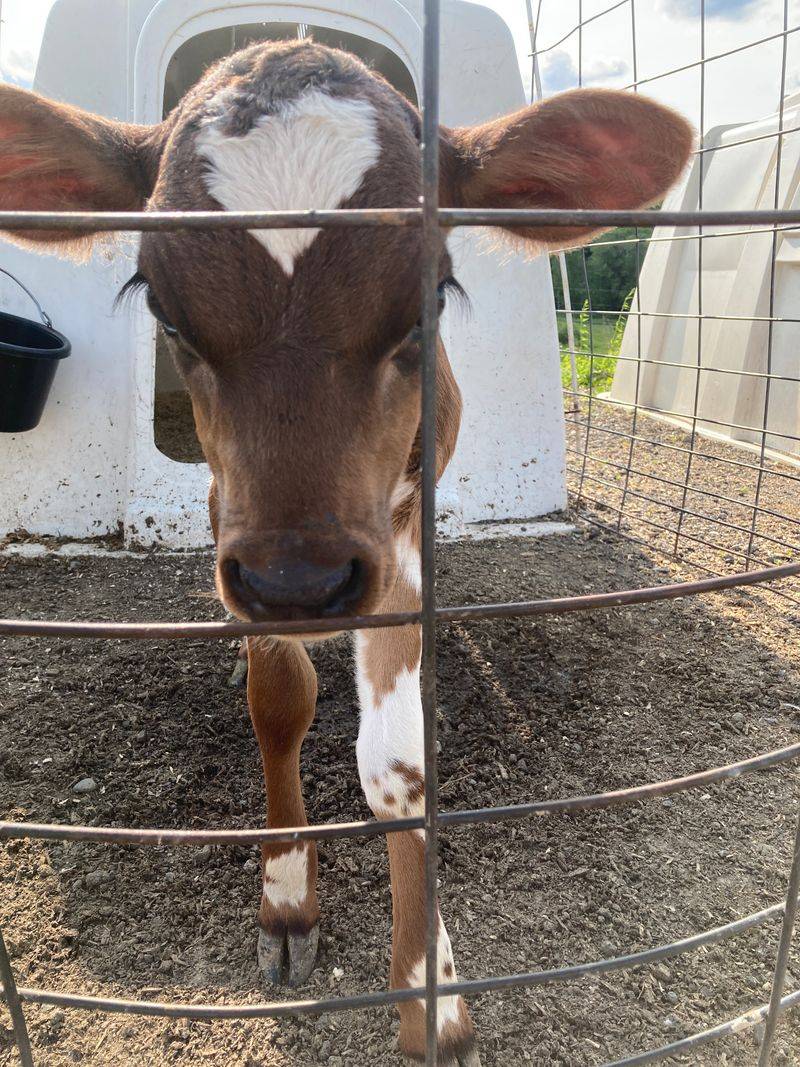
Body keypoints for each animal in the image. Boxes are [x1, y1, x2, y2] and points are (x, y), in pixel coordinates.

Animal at [0, 40, 692, 1063]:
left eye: (431, 296)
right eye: (162, 305)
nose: (303, 582)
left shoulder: (393, 540)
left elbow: (395, 760)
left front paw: (431, 992)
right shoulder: (235, 523)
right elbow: (279, 701)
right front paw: (287, 896)